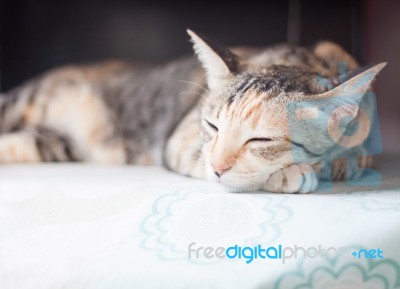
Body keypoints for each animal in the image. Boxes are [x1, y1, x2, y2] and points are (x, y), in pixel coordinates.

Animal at [0, 29, 388, 192]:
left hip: (53, 143)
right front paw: (290, 175)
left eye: (260, 140)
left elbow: (349, 160)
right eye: (212, 126)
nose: (217, 167)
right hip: (24, 104)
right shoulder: (182, 140)